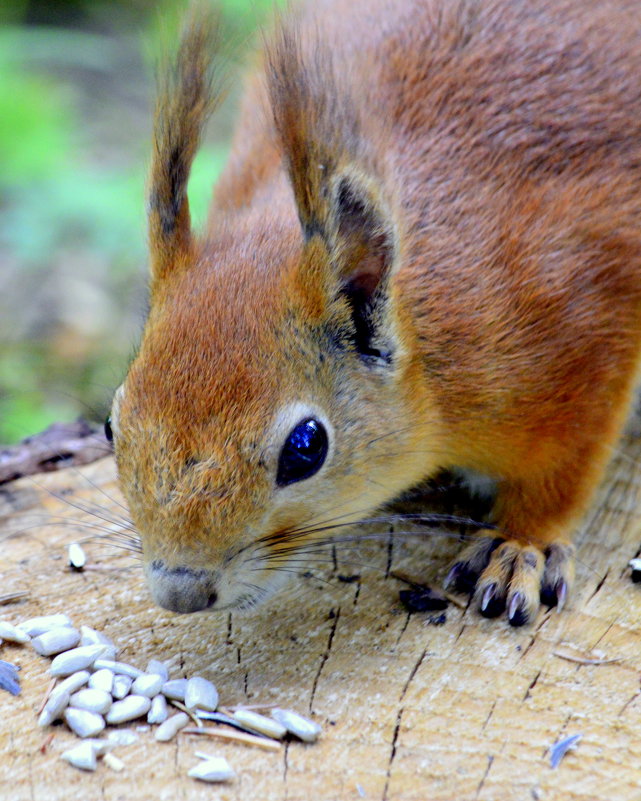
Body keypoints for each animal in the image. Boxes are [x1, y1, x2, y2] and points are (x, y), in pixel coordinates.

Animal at [107, 0, 640, 624]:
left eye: (306, 448)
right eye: (111, 425)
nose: (181, 591)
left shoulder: (584, 325)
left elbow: (567, 469)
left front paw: (522, 545)